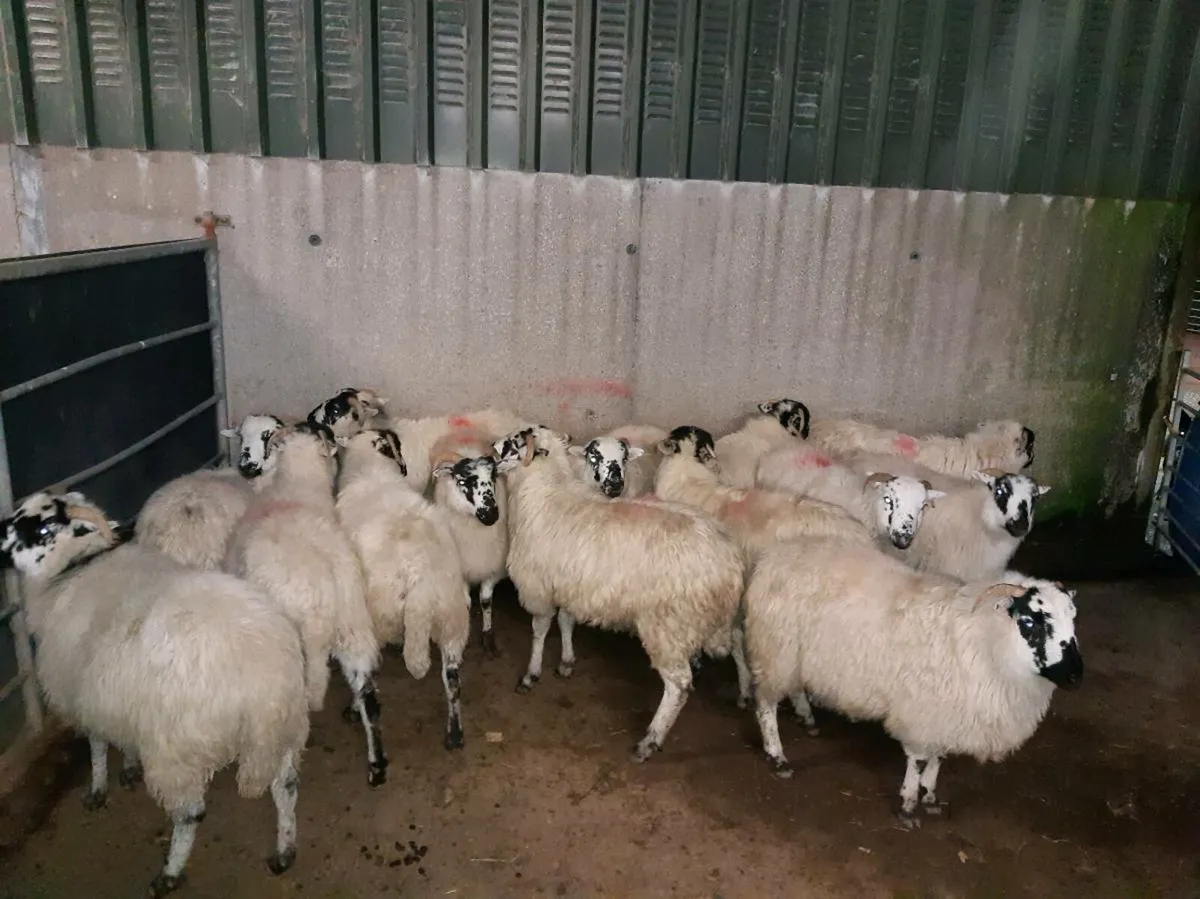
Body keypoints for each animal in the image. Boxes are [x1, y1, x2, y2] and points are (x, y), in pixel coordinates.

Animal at [0, 491, 309, 896]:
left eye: (39, 528)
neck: (70, 572)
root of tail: (267, 675)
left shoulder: (84, 694)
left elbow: (97, 746)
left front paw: (97, 789)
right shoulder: (114, 694)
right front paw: (129, 765)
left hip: (178, 750)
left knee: (191, 814)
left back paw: (170, 873)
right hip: (286, 731)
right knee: (286, 787)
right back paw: (285, 850)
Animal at [335, 428, 470, 750]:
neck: (371, 471)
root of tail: (423, 584)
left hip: (379, 613)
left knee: (369, 671)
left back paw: (354, 707)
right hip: (454, 619)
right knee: (453, 681)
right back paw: (455, 734)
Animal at [428, 426, 511, 656]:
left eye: (494, 476)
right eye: (462, 481)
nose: (491, 514)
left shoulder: (493, 566)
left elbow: (485, 601)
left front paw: (488, 636)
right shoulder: (461, 569)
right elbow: (465, 603)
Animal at [492, 426, 745, 762]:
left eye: (513, 442)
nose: (491, 450)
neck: (543, 490)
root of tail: (729, 562)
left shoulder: (539, 588)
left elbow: (540, 630)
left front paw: (531, 674)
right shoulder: (574, 584)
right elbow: (566, 622)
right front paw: (567, 661)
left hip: (668, 625)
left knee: (679, 686)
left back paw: (650, 740)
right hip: (711, 620)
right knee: (738, 644)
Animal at [744, 537, 1082, 827]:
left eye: (1073, 618)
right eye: (1030, 621)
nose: (1076, 675)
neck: (982, 640)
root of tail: (775, 555)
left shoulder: (947, 715)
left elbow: (939, 756)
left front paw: (929, 795)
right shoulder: (922, 713)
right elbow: (919, 760)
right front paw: (908, 804)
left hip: (794, 656)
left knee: (795, 687)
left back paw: (806, 717)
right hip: (775, 649)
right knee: (765, 705)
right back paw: (777, 755)